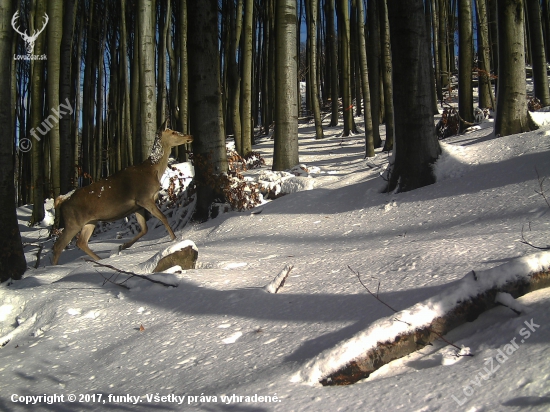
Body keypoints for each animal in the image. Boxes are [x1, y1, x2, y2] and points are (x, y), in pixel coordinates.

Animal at [51, 122, 194, 266]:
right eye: (173, 132)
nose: (190, 136)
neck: (153, 171)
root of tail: (62, 201)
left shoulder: (138, 206)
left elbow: (144, 228)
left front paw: (122, 246)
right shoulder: (144, 197)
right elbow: (163, 217)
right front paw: (175, 239)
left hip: (91, 221)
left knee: (81, 242)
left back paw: (101, 260)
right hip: (73, 221)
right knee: (58, 245)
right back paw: (54, 267)